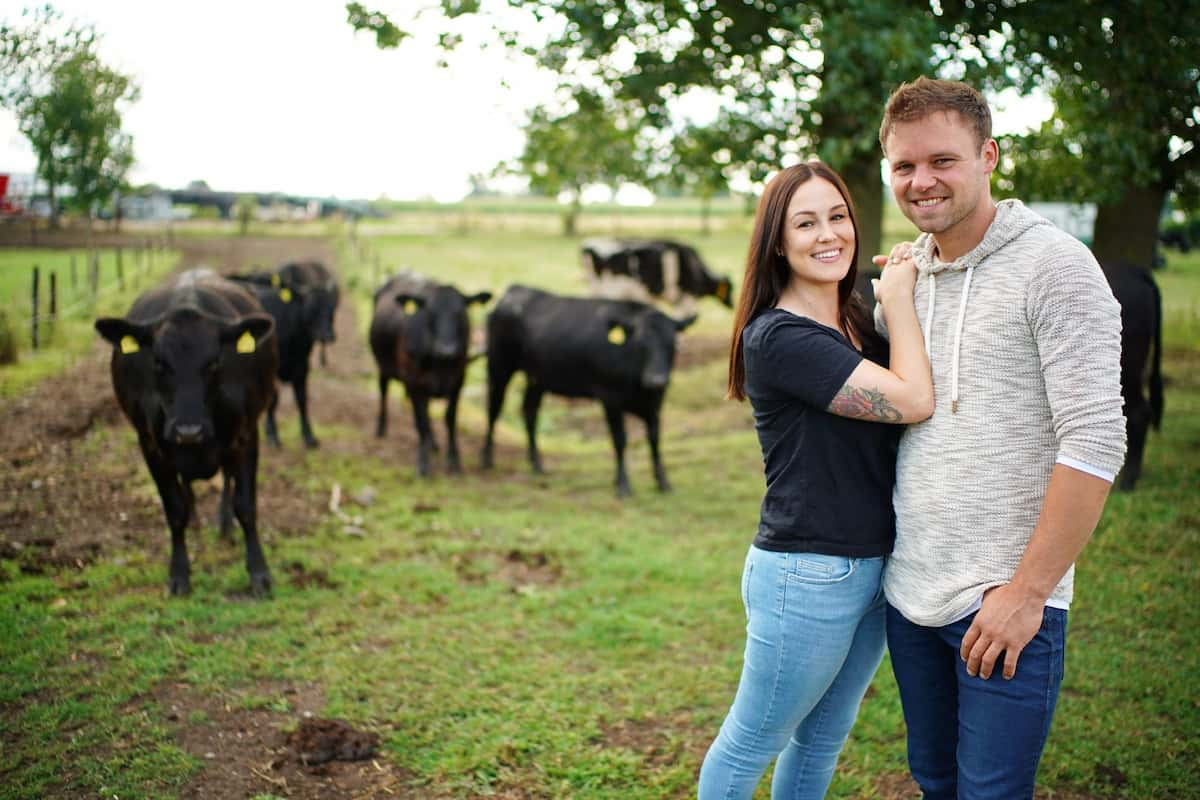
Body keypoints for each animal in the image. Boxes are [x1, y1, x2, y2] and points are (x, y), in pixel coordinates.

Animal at [94, 268, 277, 594]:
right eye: (158, 362)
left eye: (215, 362)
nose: (188, 430)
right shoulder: (150, 445)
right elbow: (174, 510)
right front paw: (179, 574)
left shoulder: (246, 436)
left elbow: (245, 505)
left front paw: (259, 572)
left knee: (226, 480)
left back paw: (224, 524)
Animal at [369, 272, 492, 479]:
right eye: (430, 314)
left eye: (460, 313)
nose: (446, 349)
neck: (440, 363)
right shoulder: (414, 382)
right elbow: (422, 423)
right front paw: (423, 465)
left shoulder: (459, 380)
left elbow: (450, 419)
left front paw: (454, 462)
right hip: (383, 366)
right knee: (384, 392)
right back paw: (380, 429)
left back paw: (433, 444)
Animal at [482, 284, 700, 496]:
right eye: (640, 342)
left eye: (673, 344)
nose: (657, 380)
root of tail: (515, 290)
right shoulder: (610, 398)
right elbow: (620, 439)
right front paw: (623, 485)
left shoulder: (655, 403)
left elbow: (654, 439)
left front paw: (663, 482)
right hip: (499, 366)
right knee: (494, 409)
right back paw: (487, 459)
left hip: (537, 378)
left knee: (529, 412)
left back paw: (537, 464)